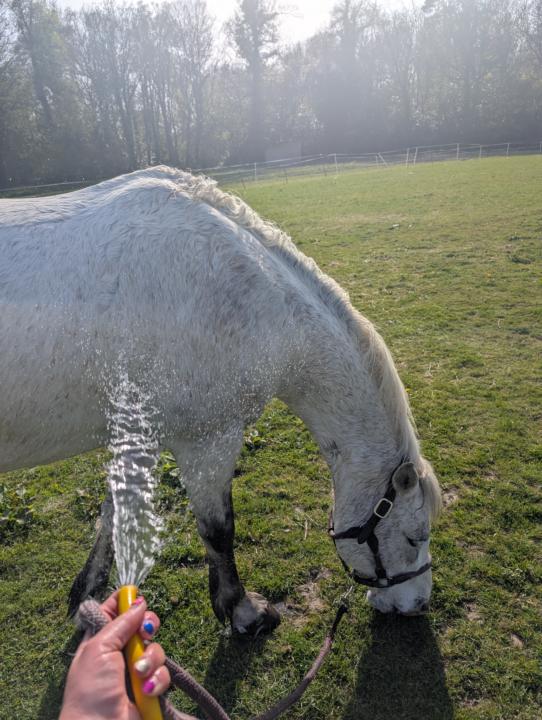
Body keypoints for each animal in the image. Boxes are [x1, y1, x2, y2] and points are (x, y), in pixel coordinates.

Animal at [0, 166, 441, 634]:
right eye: (414, 536)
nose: (416, 604)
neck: (247, 296)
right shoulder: (209, 440)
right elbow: (218, 529)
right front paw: (243, 611)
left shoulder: (136, 432)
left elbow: (110, 516)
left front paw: (88, 595)